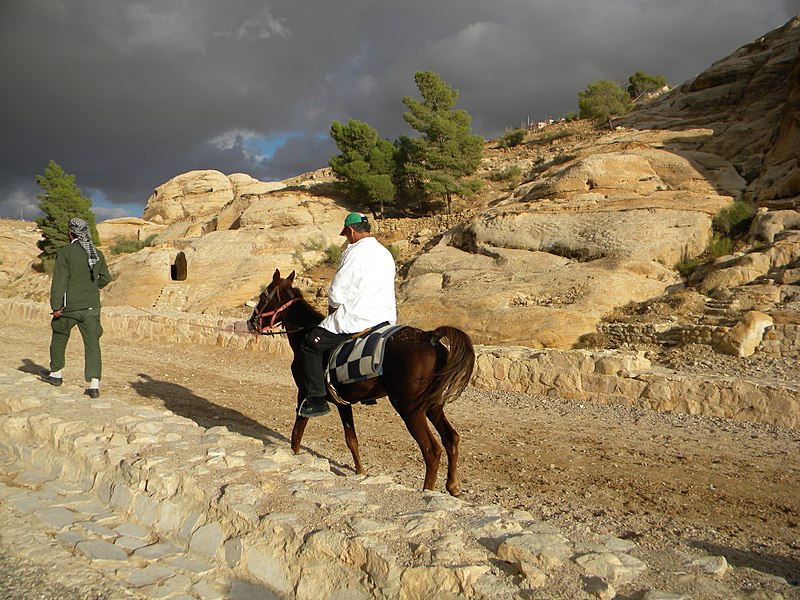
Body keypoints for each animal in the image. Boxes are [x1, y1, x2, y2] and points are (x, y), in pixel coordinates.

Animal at [250, 270, 476, 494]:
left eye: (263, 296)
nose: (252, 322)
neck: (303, 335)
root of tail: (431, 337)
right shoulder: (343, 403)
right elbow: (352, 440)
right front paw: (360, 472)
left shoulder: (305, 394)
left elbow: (297, 433)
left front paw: (295, 457)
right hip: (433, 405)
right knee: (451, 439)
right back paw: (452, 487)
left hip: (410, 409)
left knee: (431, 450)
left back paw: (427, 491)